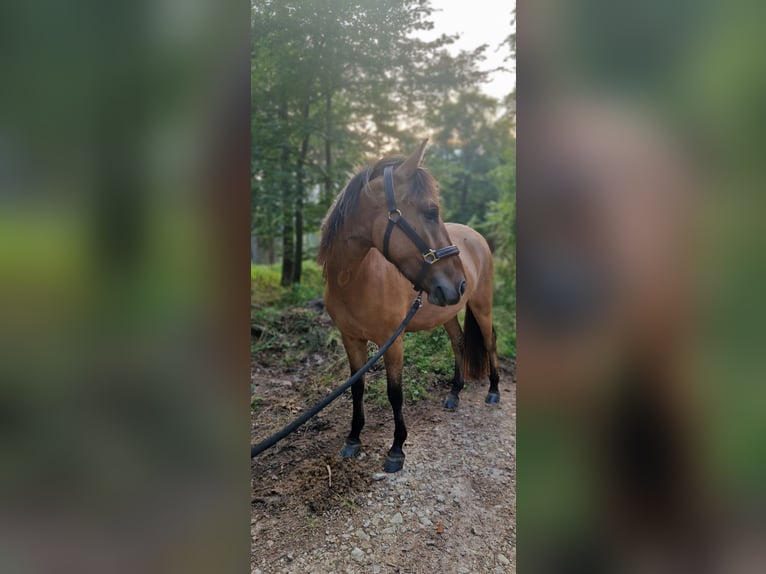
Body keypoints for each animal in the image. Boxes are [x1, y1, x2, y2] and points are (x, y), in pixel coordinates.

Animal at [316, 140, 498, 472]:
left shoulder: (393, 341)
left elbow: (394, 392)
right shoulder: (352, 339)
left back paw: (493, 391)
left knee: (490, 340)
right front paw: (353, 438)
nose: (460, 283)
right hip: (447, 310)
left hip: (482, 305)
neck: (355, 279)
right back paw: (454, 395)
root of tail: (476, 237)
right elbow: (357, 387)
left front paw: (397, 448)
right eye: (431, 211)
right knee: (459, 342)